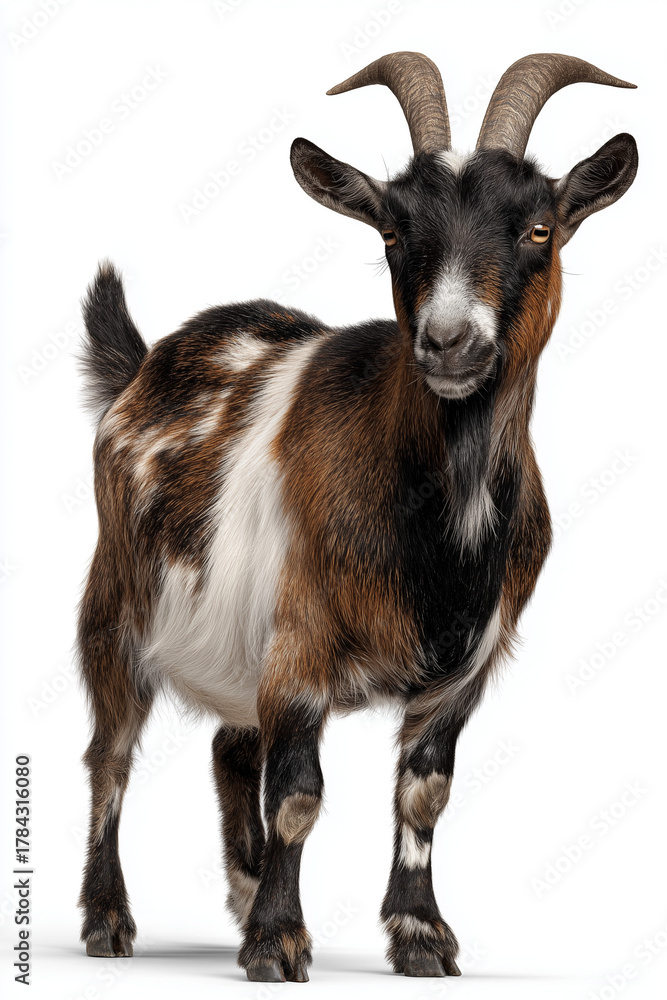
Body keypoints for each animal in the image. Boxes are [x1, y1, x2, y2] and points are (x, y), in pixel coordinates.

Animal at [77, 51, 637, 982]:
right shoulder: (300, 642)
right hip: (115, 604)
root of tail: (144, 366)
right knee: (110, 754)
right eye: (392, 234)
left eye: (538, 229)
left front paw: (419, 935)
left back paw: (241, 893)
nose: (448, 343)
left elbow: (424, 792)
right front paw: (276, 943)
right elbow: (299, 795)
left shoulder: (463, 666)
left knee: (230, 747)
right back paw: (108, 920)